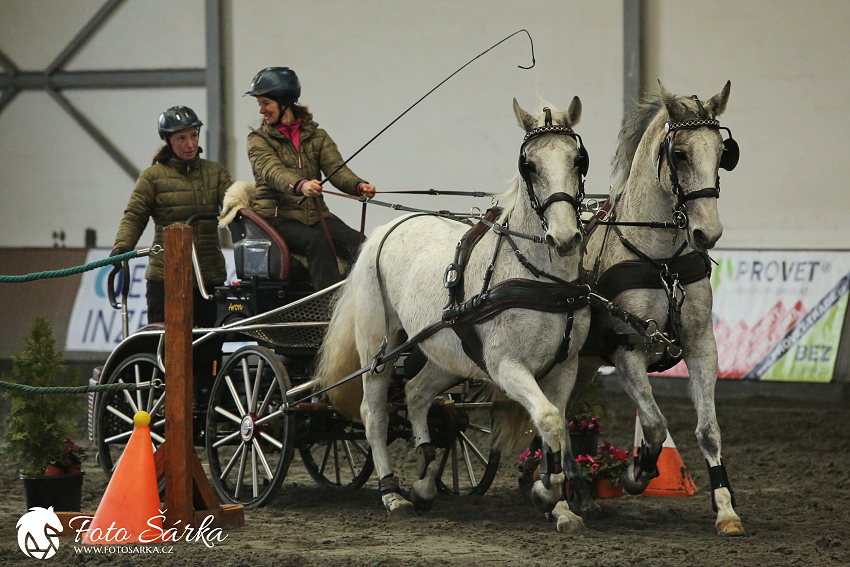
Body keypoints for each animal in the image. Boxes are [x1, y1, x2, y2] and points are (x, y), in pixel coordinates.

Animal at [318, 96, 588, 532]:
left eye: (578, 160)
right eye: (528, 165)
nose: (564, 238)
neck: (542, 280)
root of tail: (386, 229)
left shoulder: (566, 366)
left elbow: (558, 428)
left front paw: (561, 506)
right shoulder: (506, 365)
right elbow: (547, 419)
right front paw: (546, 493)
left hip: (447, 354)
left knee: (415, 394)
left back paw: (425, 482)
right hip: (380, 348)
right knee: (373, 413)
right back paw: (393, 493)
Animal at [580, 81, 740, 536]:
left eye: (723, 153)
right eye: (680, 154)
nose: (708, 233)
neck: (662, 262)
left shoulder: (702, 346)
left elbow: (709, 430)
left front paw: (725, 509)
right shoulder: (627, 350)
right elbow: (653, 426)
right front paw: (635, 474)